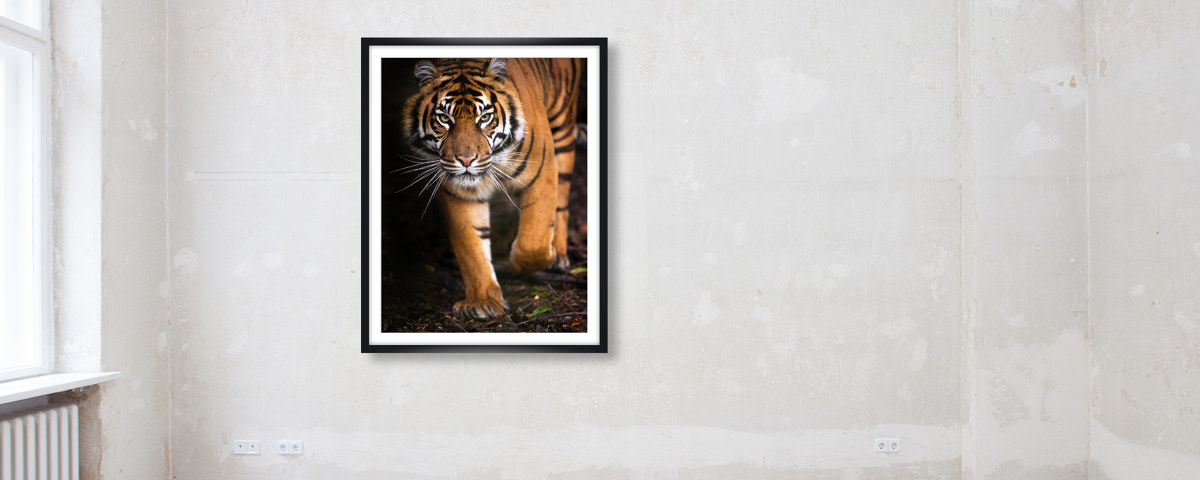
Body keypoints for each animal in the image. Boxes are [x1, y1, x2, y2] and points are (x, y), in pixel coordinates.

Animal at [400, 58, 584, 319]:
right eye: (444, 119)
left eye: (485, 117)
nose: (466, 160)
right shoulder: (460, 193)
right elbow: (472, 248)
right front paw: (482, 301)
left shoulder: (543, 168)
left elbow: (533, 240)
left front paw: (528, 261)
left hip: (562, 128)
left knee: (562, 203)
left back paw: (557, 256)